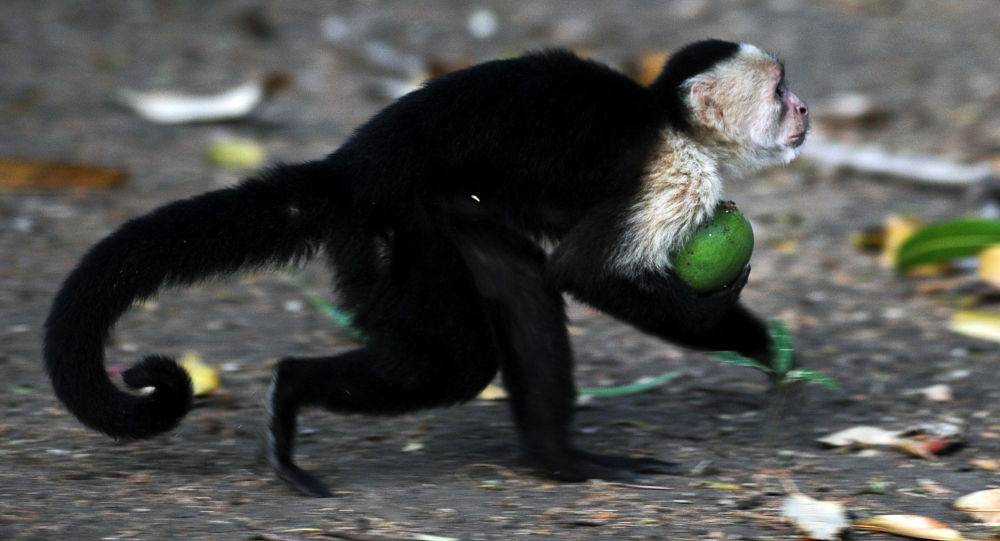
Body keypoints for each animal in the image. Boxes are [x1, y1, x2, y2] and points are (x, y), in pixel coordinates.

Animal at [45, 38, 804, 496]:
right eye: (777, 92)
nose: (803, 109)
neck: (673, 124)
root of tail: (347, 171)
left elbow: (558, 280)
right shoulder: (672, 174)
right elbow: (583, 272)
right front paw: (746, 333)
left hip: (449, 213)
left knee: (519, 291)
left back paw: (559, 459)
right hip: (390, 227)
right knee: (455, 361)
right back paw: (289, 393)